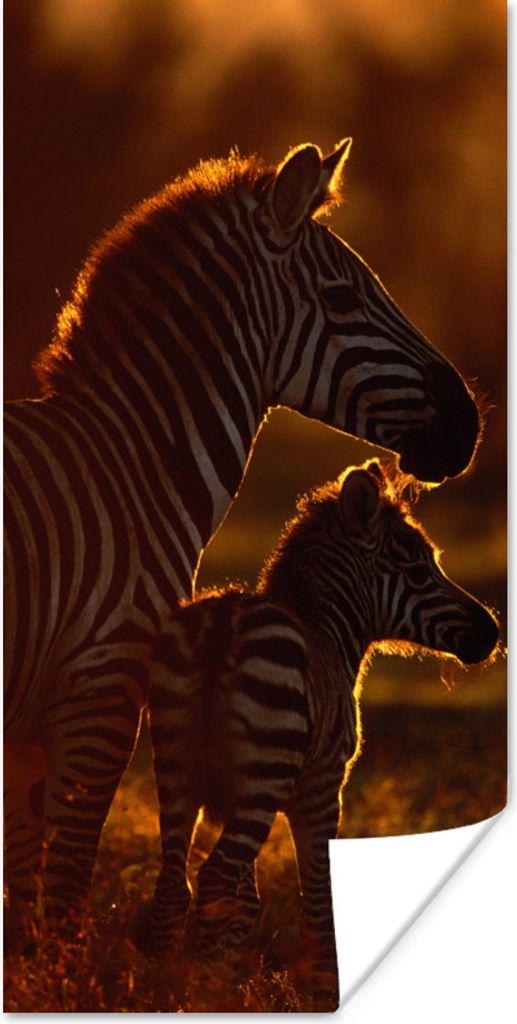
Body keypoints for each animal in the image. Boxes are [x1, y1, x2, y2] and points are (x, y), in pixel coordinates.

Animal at [4, 138, 480, 948]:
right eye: (344, 299)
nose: (470, 423)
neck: (126, 469)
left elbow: (25, 905)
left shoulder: (31, 731)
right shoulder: (101, 691)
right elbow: (64, 893)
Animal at [148, 460, 498, 1010]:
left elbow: (247, 903)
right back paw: (207, 994)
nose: (493, 633)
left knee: (173, 884)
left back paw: (170, 991)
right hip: (263, 780)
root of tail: (224, 623)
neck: (329, 633)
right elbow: (317, 892)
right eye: (421, 571)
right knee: (214, 879)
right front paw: (323, 989)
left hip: (175, 770)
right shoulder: (322, 788)